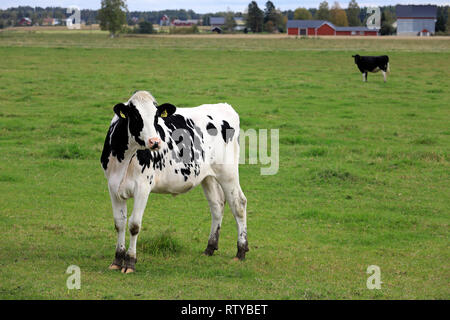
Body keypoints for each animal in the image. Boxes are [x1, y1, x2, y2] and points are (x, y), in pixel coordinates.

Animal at [101, 90, 248, 272]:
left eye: (156, 116)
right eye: (135, 115)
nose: (155, 142)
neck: (124, 159)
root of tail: (223, 106)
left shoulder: (143, 188)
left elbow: (134, 225)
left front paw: (130, 262)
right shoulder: (113, 187)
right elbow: (119, 223)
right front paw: (117, 259)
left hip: (228, 173)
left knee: (238, 204)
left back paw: (241, 250)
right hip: (207, 176)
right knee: (217, 205)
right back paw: (210, 247)